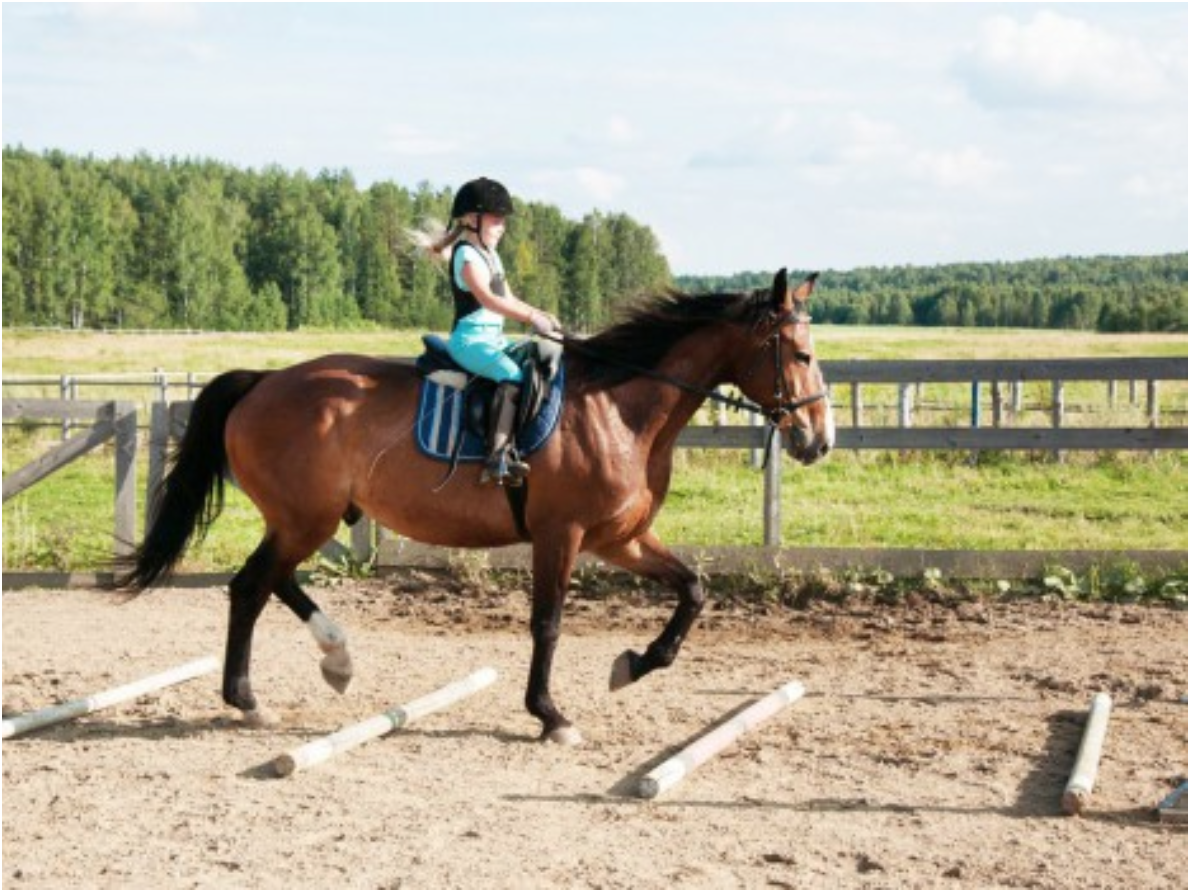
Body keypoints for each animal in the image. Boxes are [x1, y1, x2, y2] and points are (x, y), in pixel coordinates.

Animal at [115, 267, 831, 741]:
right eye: (799, 352)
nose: (818, 440)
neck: (620, 406)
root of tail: (263, 381)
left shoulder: (618, 538)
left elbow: (694, 588)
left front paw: (635, 664)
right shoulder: (562, 534)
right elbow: (548, 623)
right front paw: (550, 715)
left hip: (304, 520)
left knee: (272, 582)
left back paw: (334, 659)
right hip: (305, 519)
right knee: (249, 588)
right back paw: (247, 698)